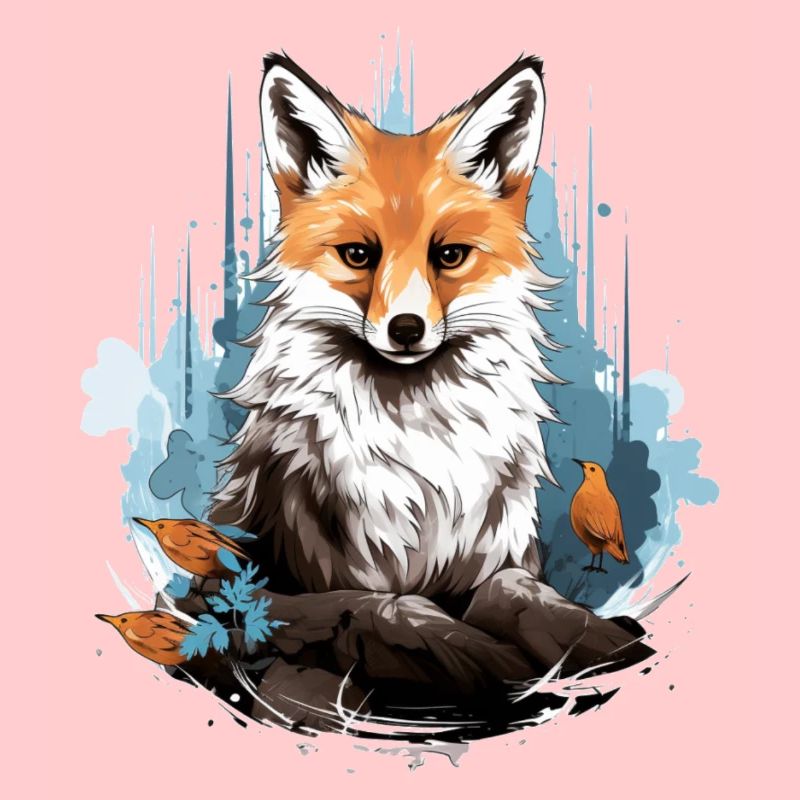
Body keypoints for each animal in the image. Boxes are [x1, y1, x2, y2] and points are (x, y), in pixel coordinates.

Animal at [209, 53, 562, 601]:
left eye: (449, 255)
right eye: (358, 254)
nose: (406, 329)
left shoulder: (501, 551)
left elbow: (511, 586)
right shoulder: (333, 565)